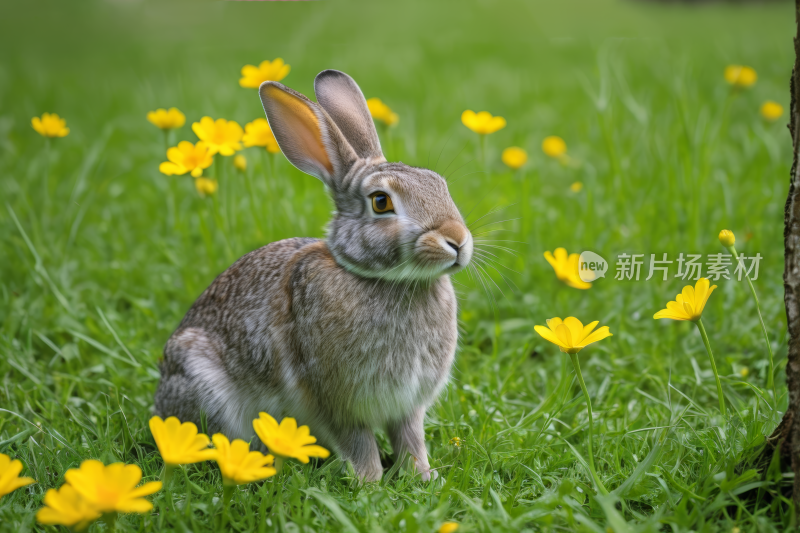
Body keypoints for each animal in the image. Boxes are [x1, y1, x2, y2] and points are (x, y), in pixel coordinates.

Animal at [153, 68, 472, 480]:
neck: (388, 281)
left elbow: (411, 439)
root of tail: (160, 401)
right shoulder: (334, 400)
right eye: (381, 202)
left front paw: (422, 477)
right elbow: (359, 443)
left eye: (440, 185)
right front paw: (370, 482)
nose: (457, 241)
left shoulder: (407, 406)